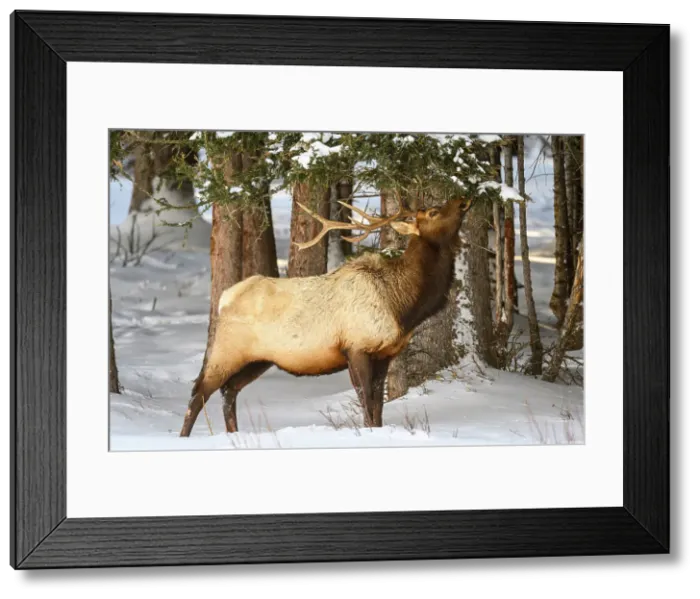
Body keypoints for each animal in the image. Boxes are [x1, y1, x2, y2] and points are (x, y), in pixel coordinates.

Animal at [178, 195, 474, 437]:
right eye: (433, 211)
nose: (463, 199)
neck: (402, 305)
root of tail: (223, 299)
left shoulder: (384, 354)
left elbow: (378, 405)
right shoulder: (356, 347)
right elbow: (367, 401)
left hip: (258, 359)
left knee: (229, 390)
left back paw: (234, 435)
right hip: (226, 348)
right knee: (199, 391)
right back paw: (185, 437)